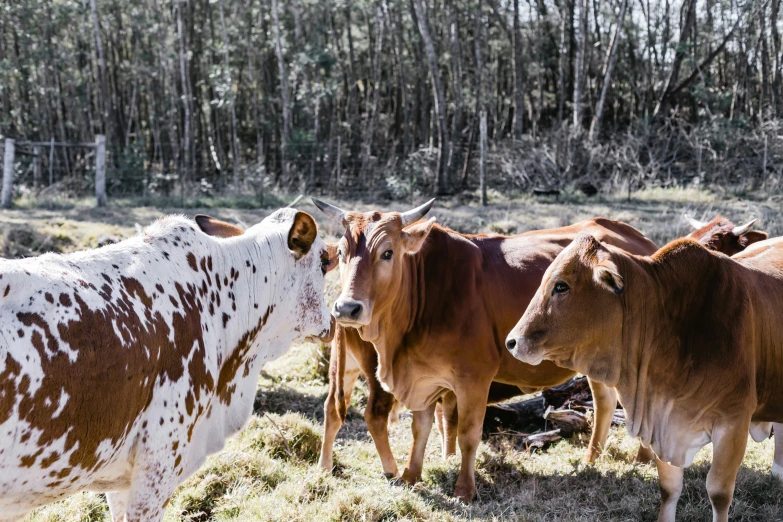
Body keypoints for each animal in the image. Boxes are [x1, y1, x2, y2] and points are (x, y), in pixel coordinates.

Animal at [312, 198, 660, 500]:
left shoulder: (473, 377)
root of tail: (641, 241)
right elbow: (420, 428)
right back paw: (592, 459)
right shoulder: (423, 377)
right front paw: (410, 476)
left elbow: (467, 434)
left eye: (387, 252)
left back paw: (643, 458)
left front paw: (464, 490)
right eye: (341, 252)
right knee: (604, 402)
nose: (346, 308)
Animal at [506, 235, 783, 520]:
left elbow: (718, 493)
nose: (512, 342)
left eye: (561, 286)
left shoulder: (733, 424)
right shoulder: (661, 421)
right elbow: (669, 489)